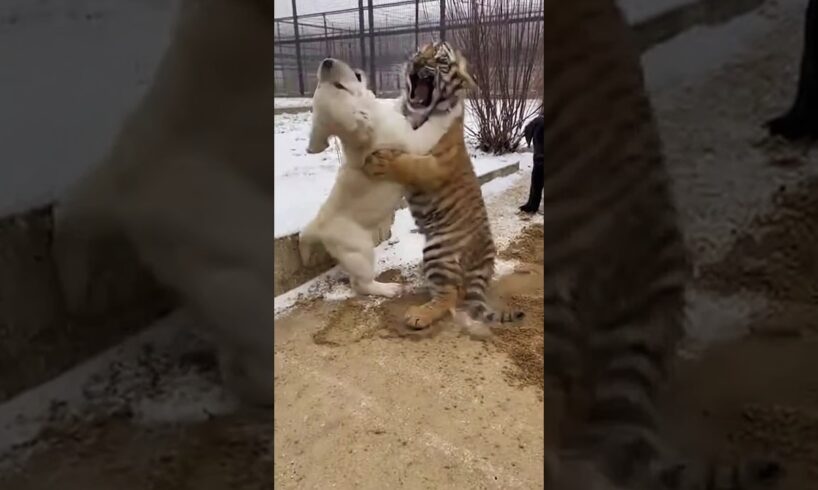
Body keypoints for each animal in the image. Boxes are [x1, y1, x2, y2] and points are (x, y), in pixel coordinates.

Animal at [362, 41, 524, 338]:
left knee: (450, 296)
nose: (416, 62)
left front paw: (378, 161)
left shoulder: (434, 165)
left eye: (440, 60)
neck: (414, 113)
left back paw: (418, 316)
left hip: (439, 250)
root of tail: (486, 258)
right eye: (419, 51)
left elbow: (408, 162)